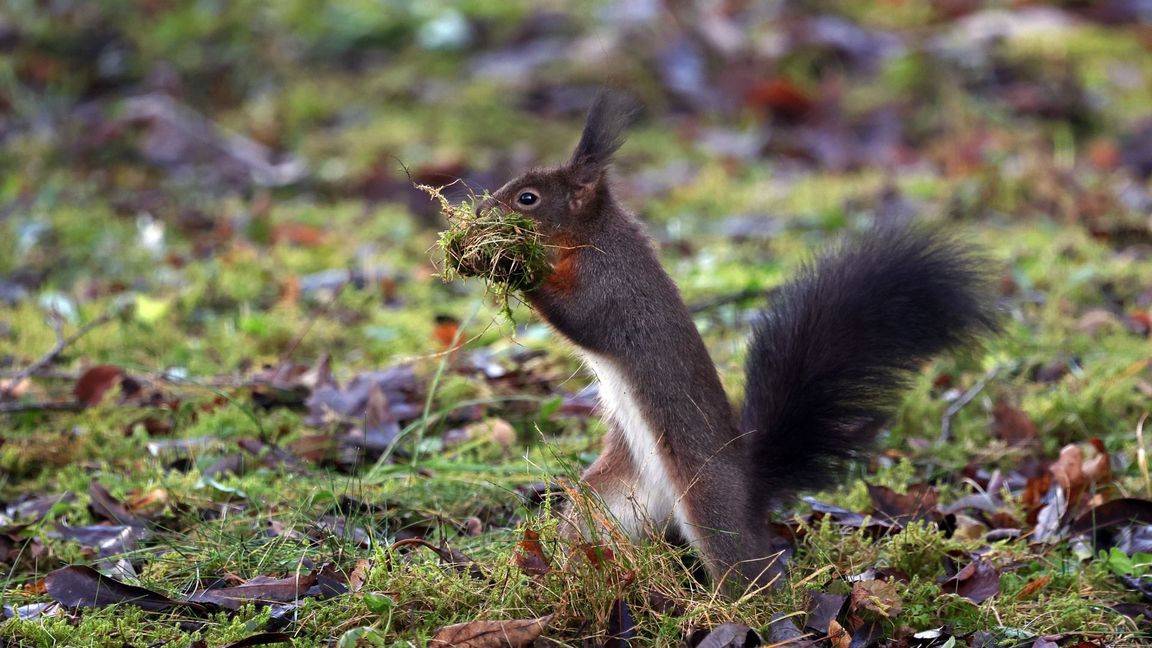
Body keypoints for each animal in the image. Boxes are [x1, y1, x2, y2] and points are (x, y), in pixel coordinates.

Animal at [475, 92, 999, 591]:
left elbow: (583, 317)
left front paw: (512, 268)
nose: (481, 211)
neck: (592, 235)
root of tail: (750, 489)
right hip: (607, 500)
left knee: (744, 570)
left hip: (710, 502)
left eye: (527, 197)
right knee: (589, 531)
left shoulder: (614, 287)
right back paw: (565, 574)